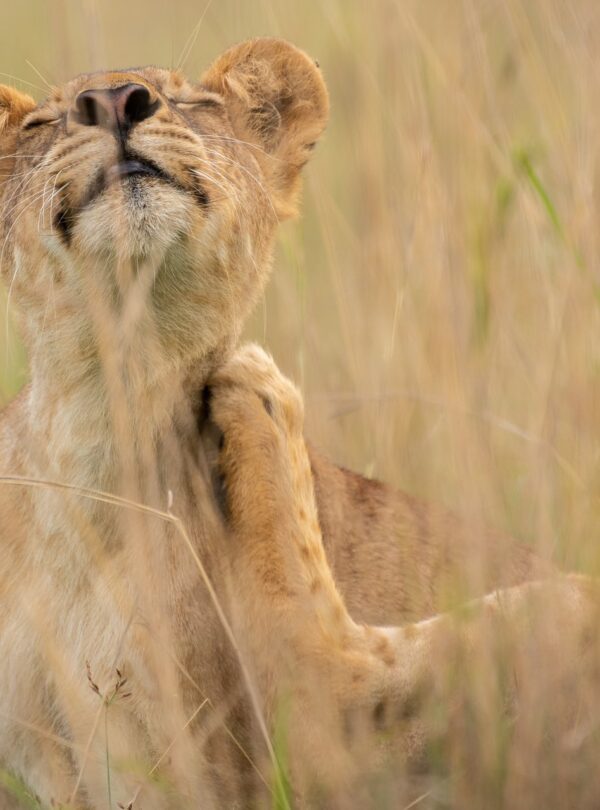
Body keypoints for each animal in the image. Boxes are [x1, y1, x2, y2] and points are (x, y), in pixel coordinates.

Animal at [0, 37, 593, 809]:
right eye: (42, 123)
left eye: (193, 101)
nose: (115, 101)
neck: (109, 406)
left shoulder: (214, 767)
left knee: (327, 673)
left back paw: (261, 396)